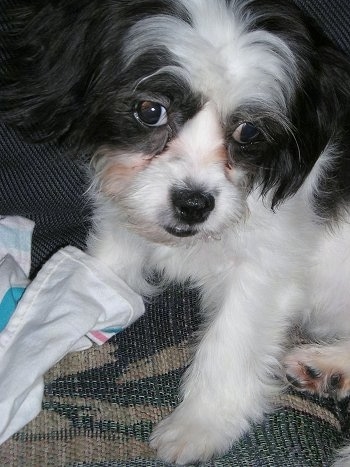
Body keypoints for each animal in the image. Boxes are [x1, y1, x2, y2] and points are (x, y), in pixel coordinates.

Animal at [2, 0, 350, 464]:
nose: (194, 204)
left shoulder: (266, 266)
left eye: (249, 131)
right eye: (151, 111)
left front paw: (201, 422)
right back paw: (330, 369)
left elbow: (230, 340)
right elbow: (91, 279)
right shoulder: (120, 226)